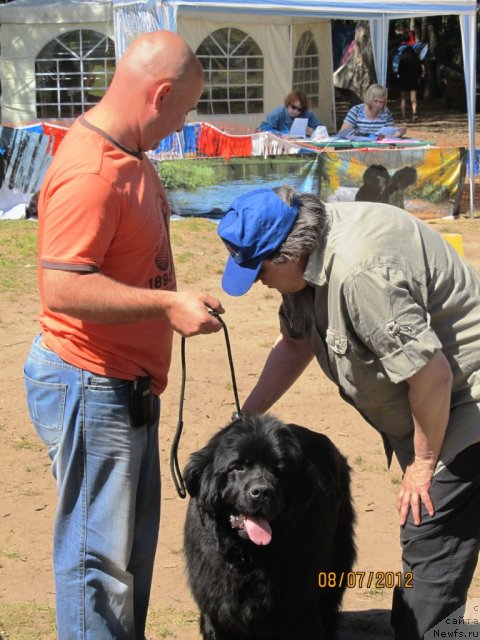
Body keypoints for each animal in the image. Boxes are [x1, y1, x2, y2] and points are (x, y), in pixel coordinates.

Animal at [184, 412, 356, 636]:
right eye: (239, 467)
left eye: (278, 470)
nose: (262, 492)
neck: (248, 558)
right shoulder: (217, 614)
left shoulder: (299, 611)